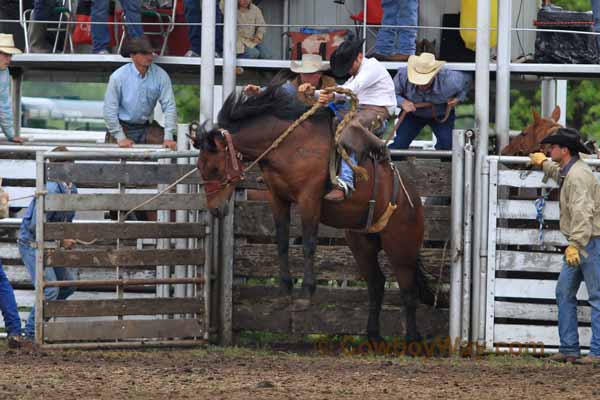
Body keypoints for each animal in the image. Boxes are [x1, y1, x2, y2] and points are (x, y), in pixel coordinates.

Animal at [190, 86, 434, 342]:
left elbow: (308, 243)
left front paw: (307, 292)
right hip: (362, 243)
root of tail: (412, 198)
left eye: (215, 168)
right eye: (199, 167)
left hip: (401, 246)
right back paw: (373, 337)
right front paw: (285, 289)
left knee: (408, 291)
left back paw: (412, 339)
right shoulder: (277, 198)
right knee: (377, 284)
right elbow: (282, 242)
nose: (215, 208)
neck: (291, 145)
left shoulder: (309, 199)